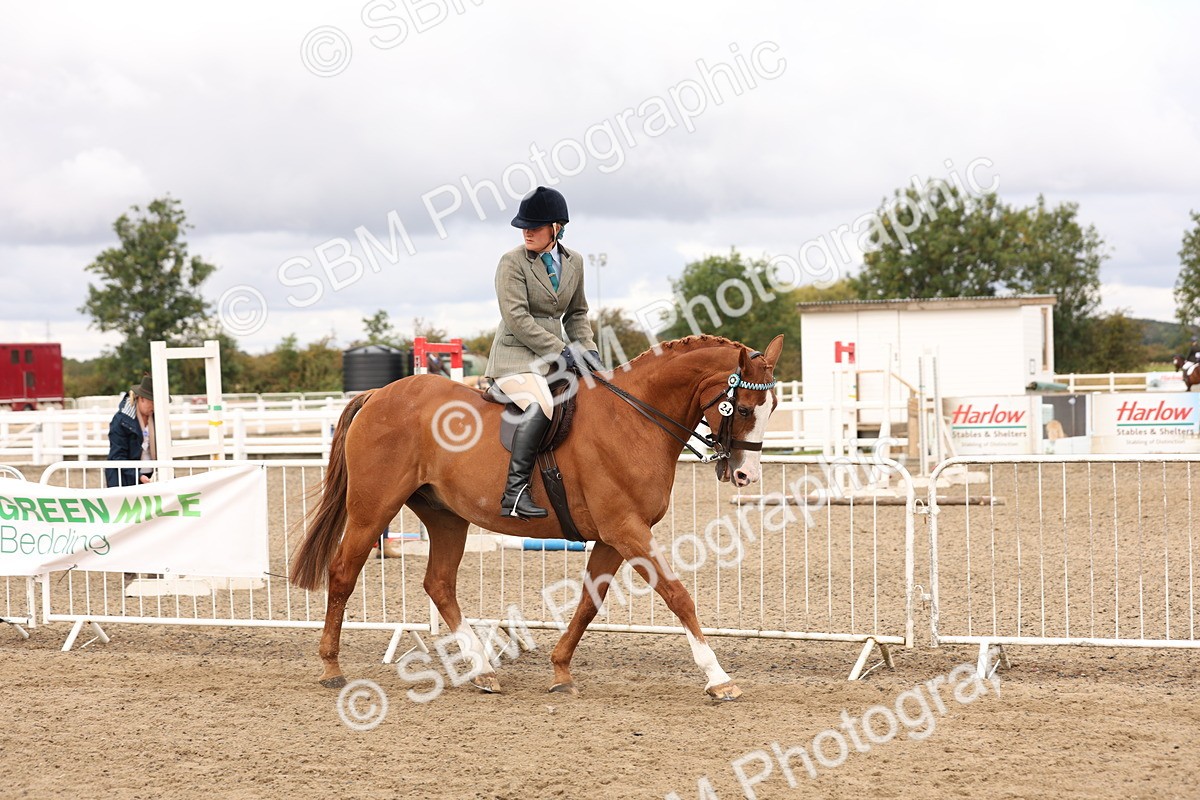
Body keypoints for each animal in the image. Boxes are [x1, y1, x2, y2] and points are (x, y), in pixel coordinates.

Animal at [290, 333, 785, 700]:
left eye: (773, 408)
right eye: (742, 408)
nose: (746, 474)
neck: (634, 419)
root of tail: (377, 394)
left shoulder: (614, 536)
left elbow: (589, 602)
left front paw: (560, 671)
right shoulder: (626, 529)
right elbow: (678, 595)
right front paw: (718, 677)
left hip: (446, 516)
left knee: (439, 584)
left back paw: (483, 671)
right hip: (372, 509)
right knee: (343, 571)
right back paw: (331, 666)